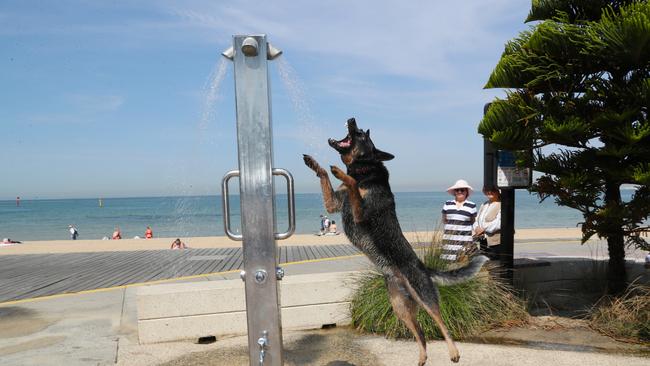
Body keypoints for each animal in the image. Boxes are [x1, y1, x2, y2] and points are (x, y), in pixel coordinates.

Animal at [304, 118, 486, 366]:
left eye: (361, 134)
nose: (351, 119)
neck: (364, 170)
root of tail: (424, 268)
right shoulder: (333, 205)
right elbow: (325, 175)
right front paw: (314, 163)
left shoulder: (361, 214)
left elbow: (351, 184)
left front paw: (341, 173)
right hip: (400, 307)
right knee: (421, 334)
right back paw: (422, 358)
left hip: (424, 297)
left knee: (441, 324)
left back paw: (454, 352)